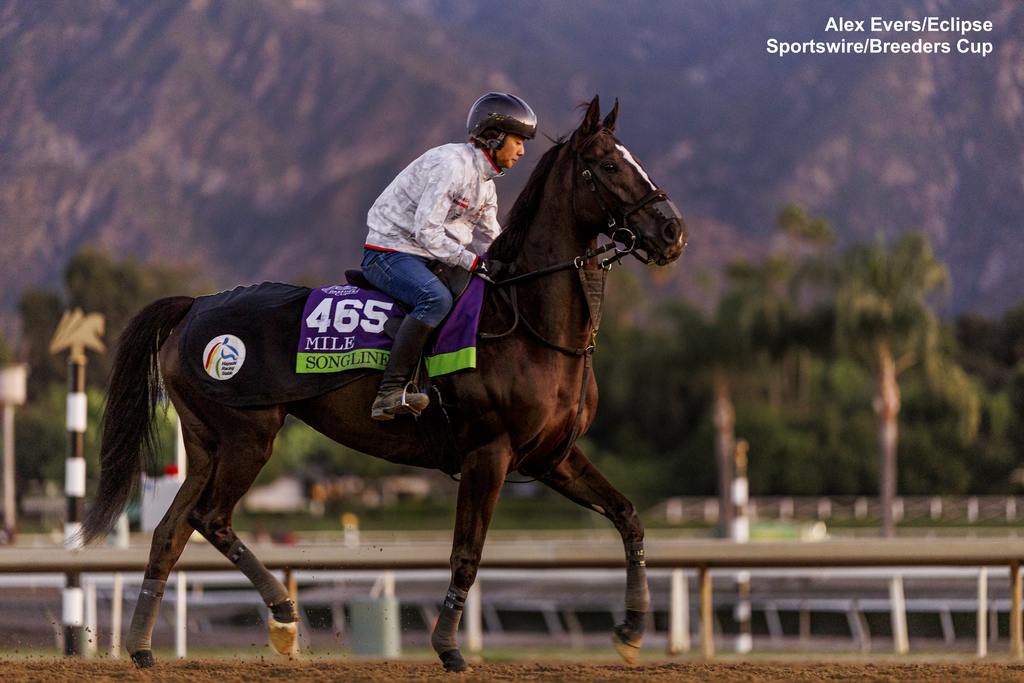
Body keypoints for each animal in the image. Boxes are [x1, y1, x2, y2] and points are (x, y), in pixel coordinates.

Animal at [79, 97, 688, 671]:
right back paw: (283, 612)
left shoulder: (549, 457)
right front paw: (448, 648)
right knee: (210, 518)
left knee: (170, 532)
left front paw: (632, 631)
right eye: (607, 164)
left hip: (206, 443)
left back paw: (142, 647)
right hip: (247, 436)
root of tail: (195, 305)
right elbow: (467, 553)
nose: (672, 231)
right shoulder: (489, 453)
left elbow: (628, 516)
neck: (525, 321)